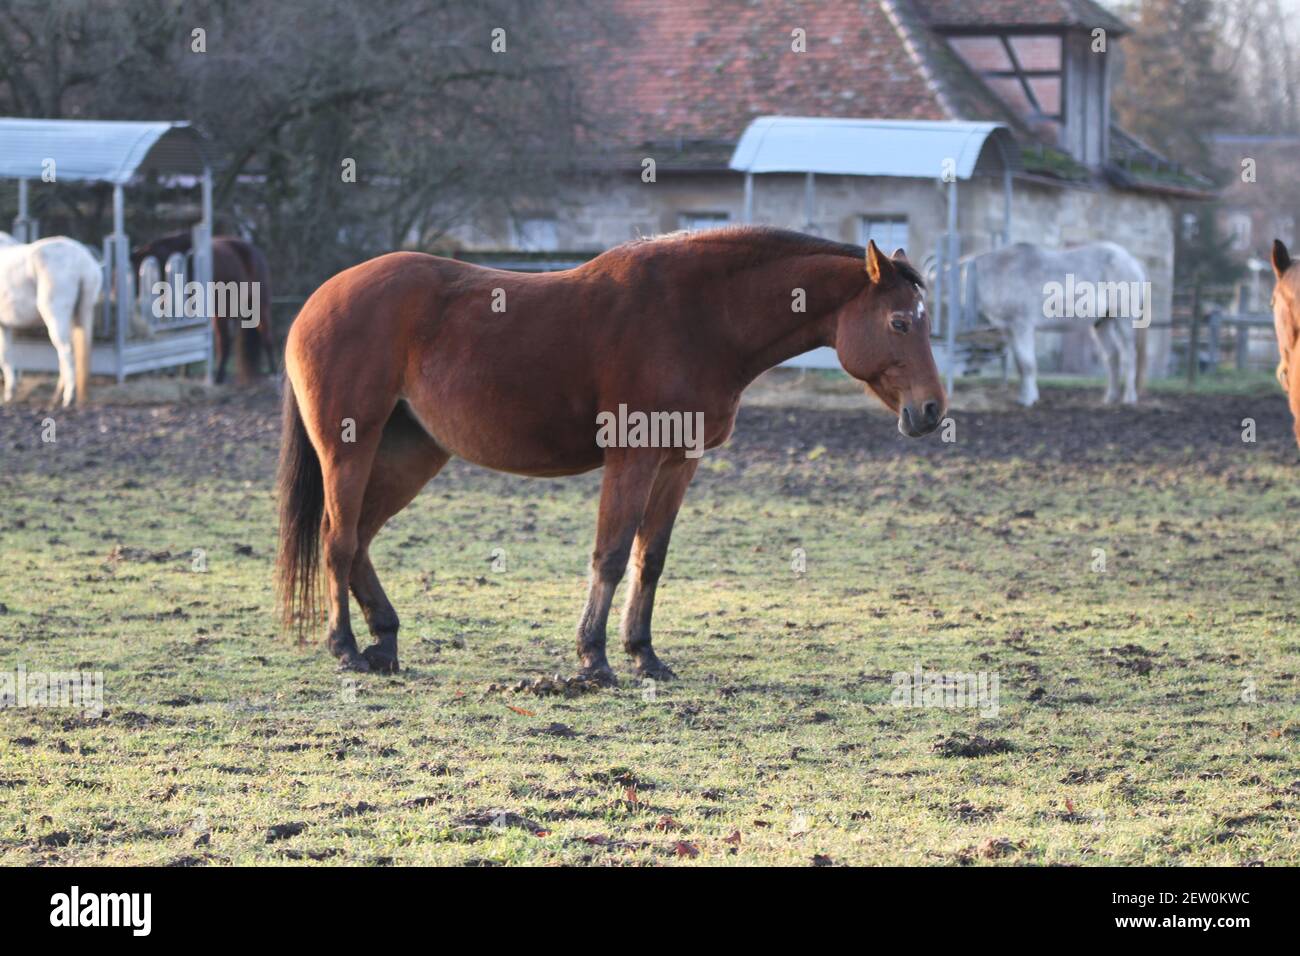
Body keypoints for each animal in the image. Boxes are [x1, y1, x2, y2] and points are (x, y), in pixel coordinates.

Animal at [0, 238, 102, 408]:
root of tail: (82, 262)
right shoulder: (5, 326)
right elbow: (6, 355)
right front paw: (9, 393)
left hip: (55, 317)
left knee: (65, 351)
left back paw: (67, 398)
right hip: (81, 313)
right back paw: (58, 396)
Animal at [130, 234, 275, 382]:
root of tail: (255, 251)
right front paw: (181, 373)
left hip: (254, 307)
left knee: (262, 338)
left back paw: (270, 373)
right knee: (228, 340)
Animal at [276, 227, 946, 681]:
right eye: (900, 323)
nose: (932, 411)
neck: (698, 316)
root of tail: (318, 301)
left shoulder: (679, 463)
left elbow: (651, 558)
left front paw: (644, 654)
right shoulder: (633, 459)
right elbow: (612, 554)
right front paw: (594, 659)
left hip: (411, 455)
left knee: (359, 539)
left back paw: (384, 642)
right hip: (350, 449)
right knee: (338, 539)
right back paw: (345, 648)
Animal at [967, 240, 1149, 405]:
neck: (1002, 272)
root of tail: (1132, 262)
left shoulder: (1022, 326)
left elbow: (1027, 364)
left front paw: (1027, 400)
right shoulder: (1010, 330)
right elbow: (1020, 365)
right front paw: (1025, 397)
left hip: (1124, 320)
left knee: (1129, 356)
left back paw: (1129, 398)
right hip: (1102, 323)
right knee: (1112, 355)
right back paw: (1110, 398)